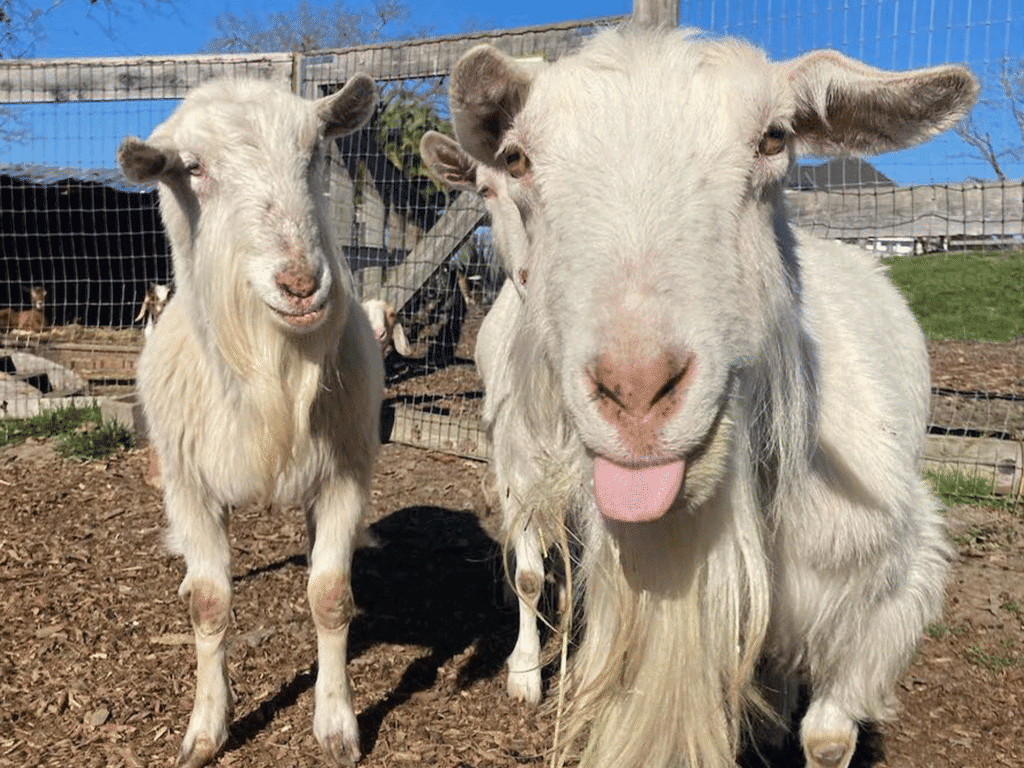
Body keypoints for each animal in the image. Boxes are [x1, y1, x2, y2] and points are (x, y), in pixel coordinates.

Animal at [116, 74, 381, 768]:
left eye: (315, 151)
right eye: (192, 168)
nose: (301, 283)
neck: (270, 375)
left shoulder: (344, 474)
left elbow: (330, 596)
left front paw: (337, 724)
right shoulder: (189, 484)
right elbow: (212, 605)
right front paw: (207, 729)